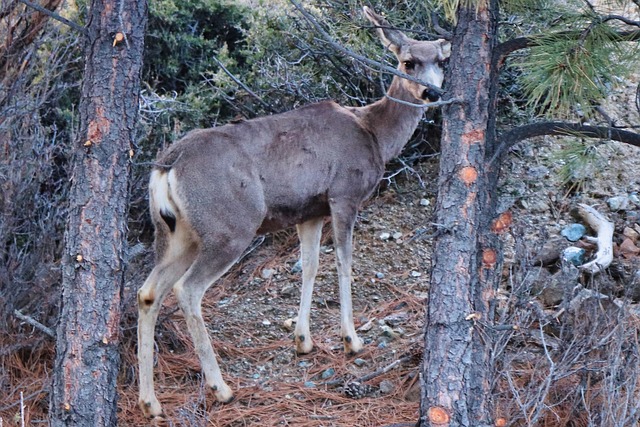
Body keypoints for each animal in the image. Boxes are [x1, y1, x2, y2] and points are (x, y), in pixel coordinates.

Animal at [138, 6, 452, 420]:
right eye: (408, 61)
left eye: (441, 61)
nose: (432, 92)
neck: (374, 134)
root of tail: (167, 165)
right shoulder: (344, 194)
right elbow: (344, 262)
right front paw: (351, 339)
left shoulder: (310, 211)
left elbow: (310, 265)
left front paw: (303, 340)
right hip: (229, 227)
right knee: (186, 290)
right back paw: (221, 388)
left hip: (176, 233)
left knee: (148, 292)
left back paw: (150, 401)